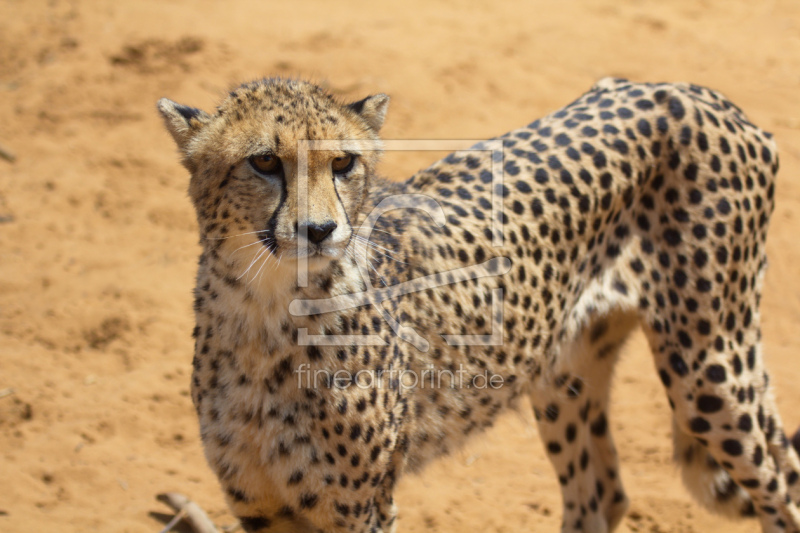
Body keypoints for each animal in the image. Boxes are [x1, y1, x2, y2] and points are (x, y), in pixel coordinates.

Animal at [158, 76, 800, 532]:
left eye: (343, 163)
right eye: (265, 161)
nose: (319, 231)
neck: (266, 312)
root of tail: (692, 91)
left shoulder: (362, 508)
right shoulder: (263, 508)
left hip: (709, 368)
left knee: (784, 487)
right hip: (562, 370)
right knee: (603, 498)